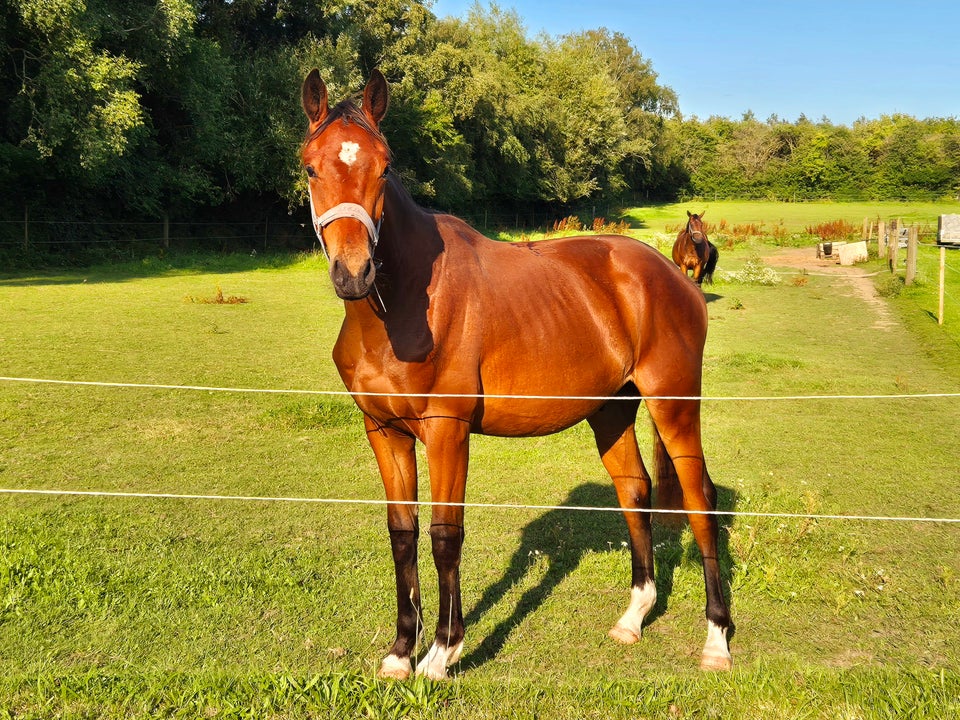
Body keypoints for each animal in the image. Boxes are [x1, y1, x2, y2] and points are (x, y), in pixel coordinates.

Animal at [296, 67, 732, 680]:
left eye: (384, 167)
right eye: (312, 166)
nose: (354, 272)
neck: (401, 306)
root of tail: (671, 274)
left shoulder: (447, 430)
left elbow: (445, 535)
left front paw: (443, 652)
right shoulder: (383, 431)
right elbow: (402, 535)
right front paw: (401, 651)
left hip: (674, 403)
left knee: (700, 499)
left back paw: (717, 639)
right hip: (612, 411)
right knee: (634, 490)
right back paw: (633, 618)